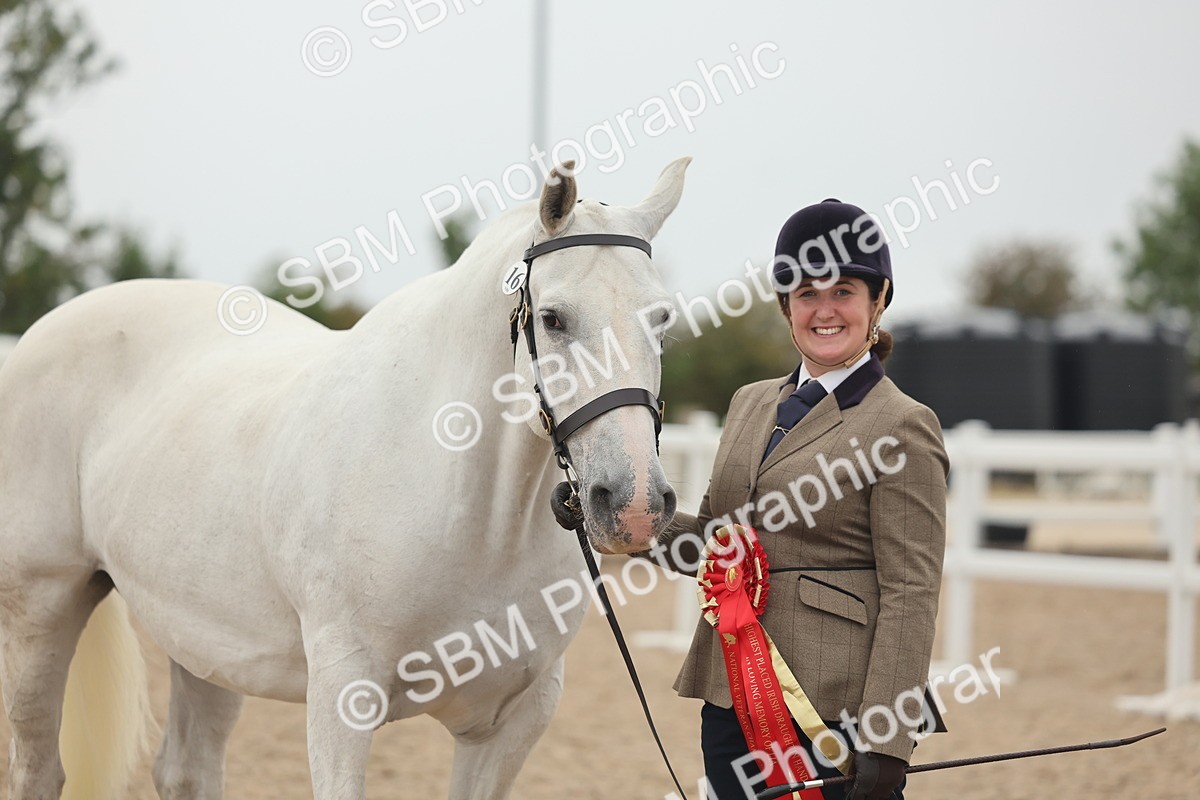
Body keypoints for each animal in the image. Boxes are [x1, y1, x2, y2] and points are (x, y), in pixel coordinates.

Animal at [0, 157, 690, 799]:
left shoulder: (515, 721)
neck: (470, 518)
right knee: (40, 769)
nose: (633, 503)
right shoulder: (341, 699)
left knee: (185, 769)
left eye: (661, 320)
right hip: (42, 606)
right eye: (552, 318)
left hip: (207, 641)